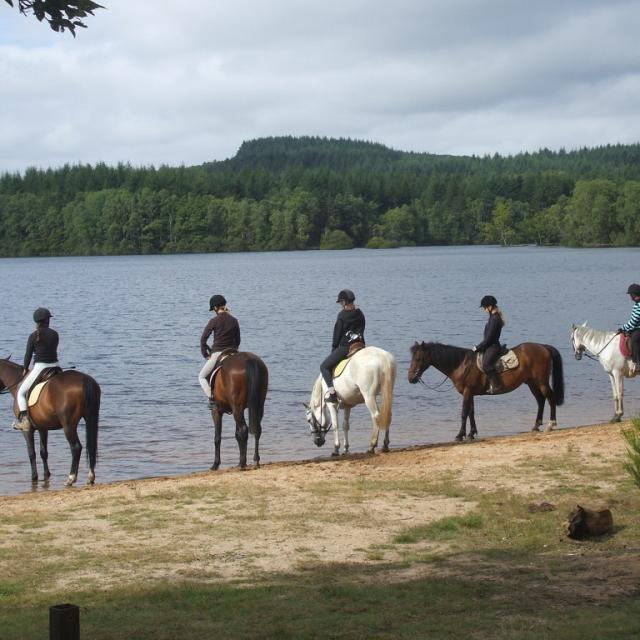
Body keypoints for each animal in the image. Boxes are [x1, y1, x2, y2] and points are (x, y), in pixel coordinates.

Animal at [408, 342, 564, 442]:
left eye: (418, 358)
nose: (410, 378)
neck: (462, 364)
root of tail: (543, 347)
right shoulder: (470, 393)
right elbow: (471, 412)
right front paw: (472, 433)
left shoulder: (467, 391)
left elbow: (464, 412)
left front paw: (460, 435)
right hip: (531, 383)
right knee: (540, 400)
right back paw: (536, 425)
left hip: (541, 382)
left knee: (550, 398)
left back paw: (551, 424)